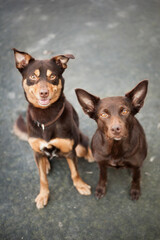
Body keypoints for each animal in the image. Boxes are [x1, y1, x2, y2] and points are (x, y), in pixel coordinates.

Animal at [13, 48, 93, 208]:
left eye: (53, 76)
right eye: (33, 76)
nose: (44, 93)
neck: (45, 117)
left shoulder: (70, 151)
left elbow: (75, 172)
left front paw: (80, 185)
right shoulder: (37, 151)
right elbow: (42, 178)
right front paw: (43, 195)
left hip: (79, 144)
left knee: (84, 146)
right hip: (37, 152)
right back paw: (46, 164)